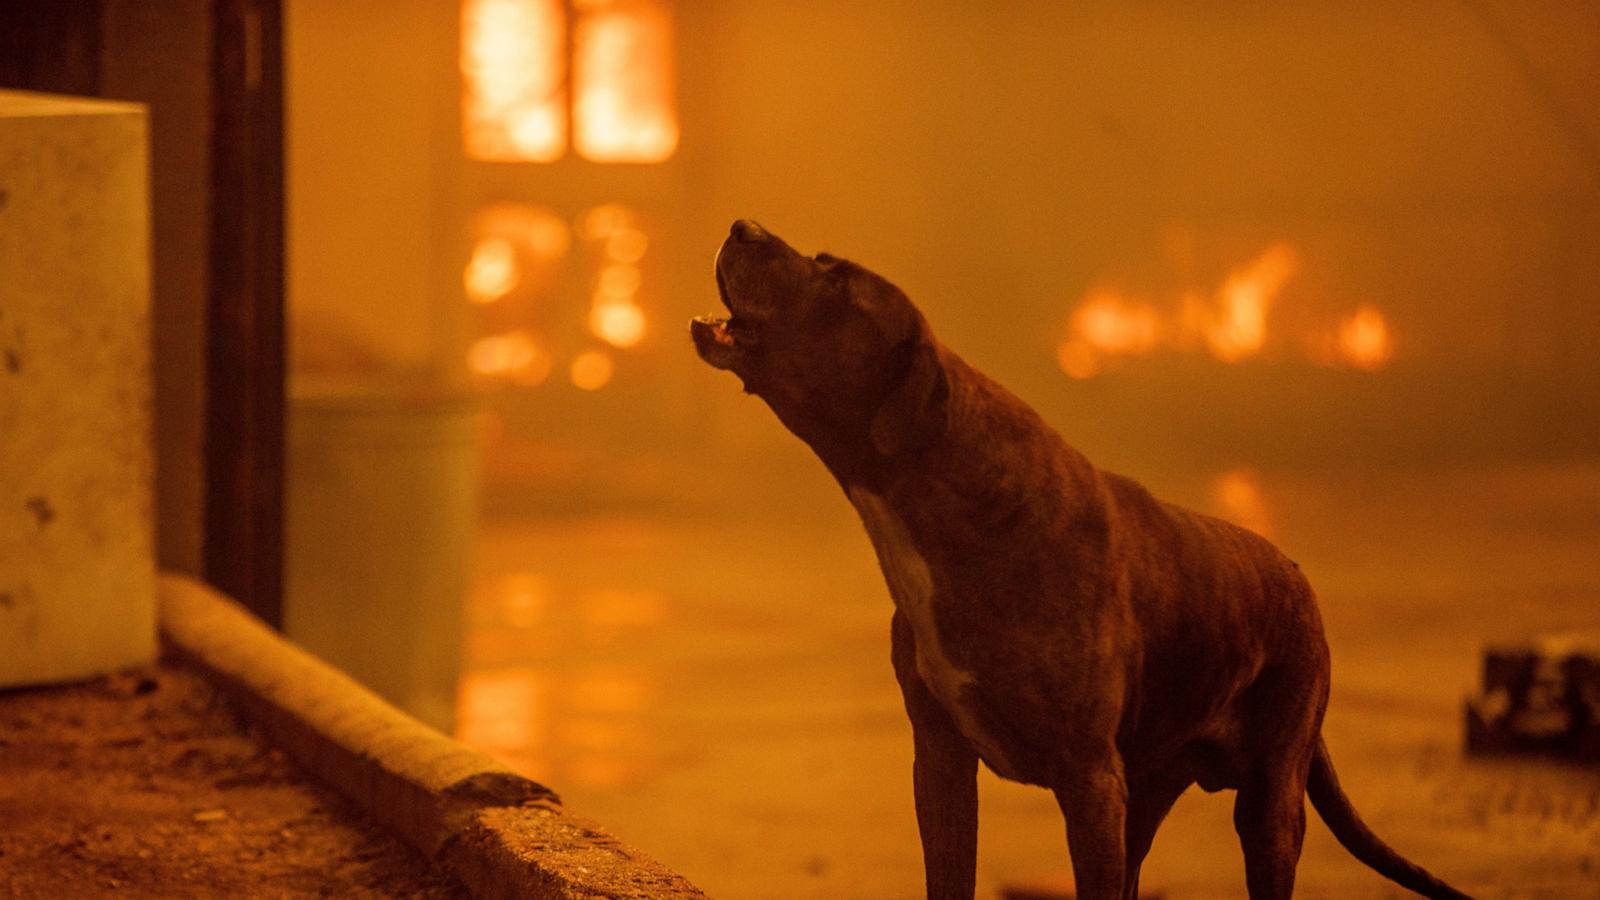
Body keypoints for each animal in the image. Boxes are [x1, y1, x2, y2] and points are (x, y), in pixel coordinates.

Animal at [694, 219, 1465, 896]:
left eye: (835, 279)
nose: (741, 226)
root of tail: (1300, 580)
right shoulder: (943, 761)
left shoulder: (1089, 782)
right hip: (1150, 792)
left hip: (1269, 803)